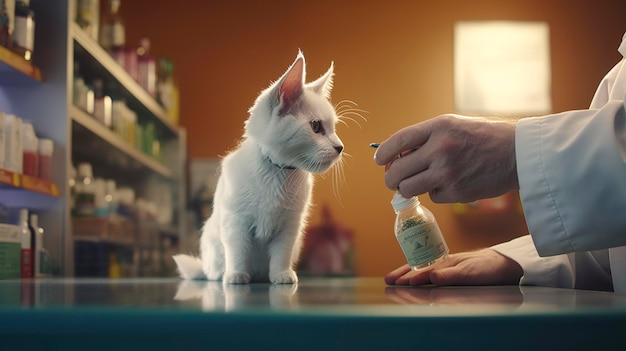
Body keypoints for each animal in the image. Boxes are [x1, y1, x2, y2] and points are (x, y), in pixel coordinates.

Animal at [173, 51, 344, 284]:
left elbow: (281, 254)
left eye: (334, 129)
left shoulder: (290, 226)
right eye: (316, 126)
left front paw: (281, 275)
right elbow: (237, 252)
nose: (340, 147)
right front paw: (235, 275)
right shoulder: (236, 222)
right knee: (212, 271)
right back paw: (223, 274)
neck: (276, 173)